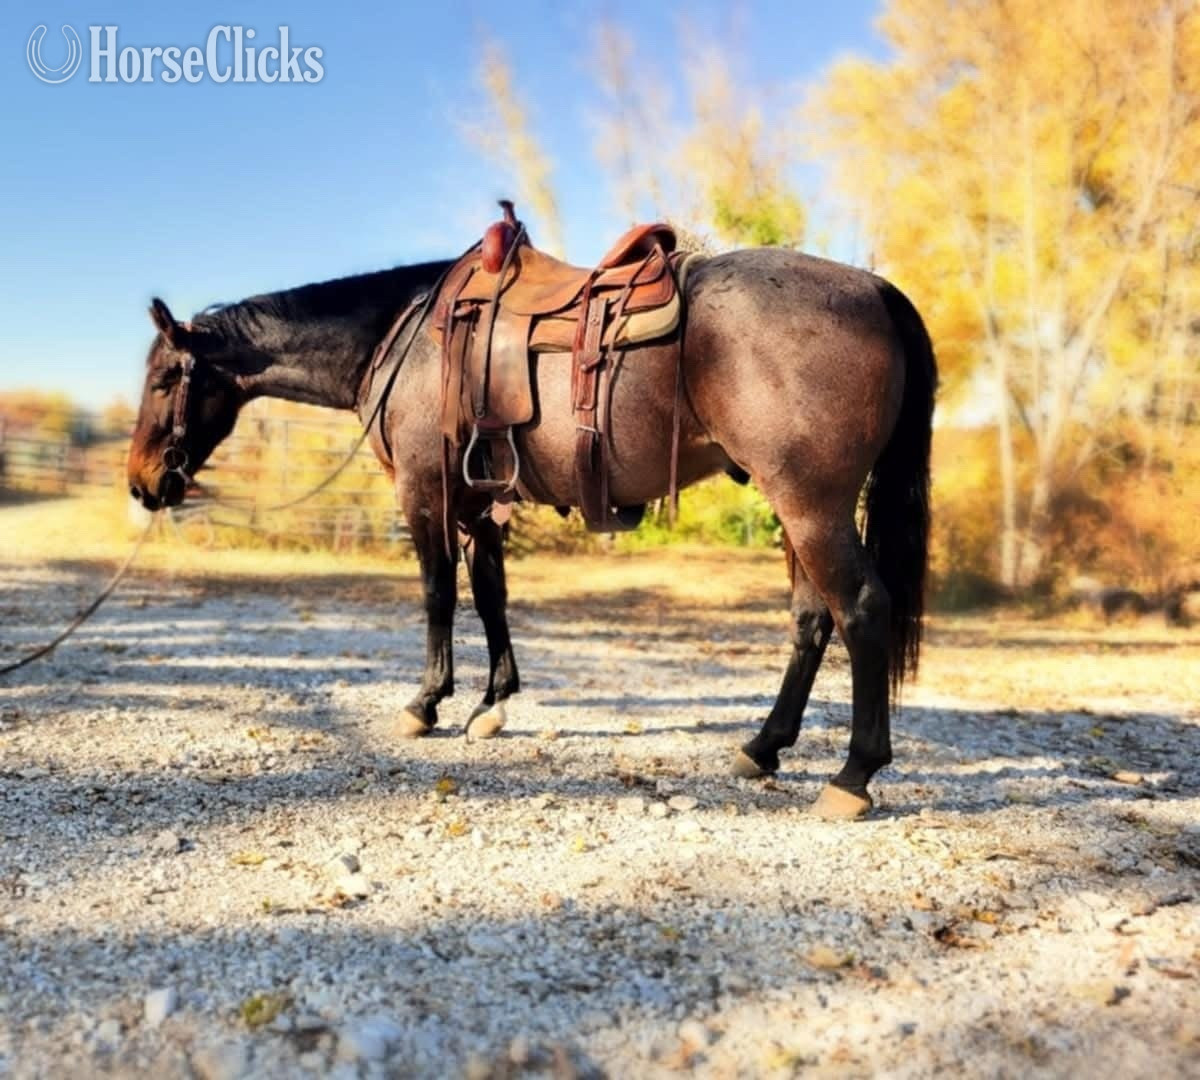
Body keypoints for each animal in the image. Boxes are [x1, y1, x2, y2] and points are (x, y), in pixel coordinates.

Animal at [126, 241, 936, 820]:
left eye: (165, 379)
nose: (141, 483)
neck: (404, 340)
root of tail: (876, 291)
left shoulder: (427, 492)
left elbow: (438, 595)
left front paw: (426, 704)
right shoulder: (480, 505)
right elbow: (492, 597)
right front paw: (492, 706)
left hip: (811, 503)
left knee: (862, 609)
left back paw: (852, 776)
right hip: (798, 509)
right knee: (810, 620)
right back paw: (763, 747)